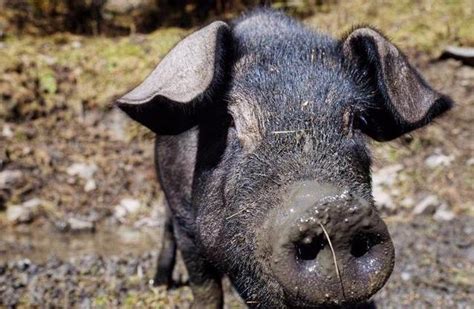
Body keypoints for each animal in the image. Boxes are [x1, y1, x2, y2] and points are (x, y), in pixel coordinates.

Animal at [115, 8, 452, 306]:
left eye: (357, 122)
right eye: (230, 120)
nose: (334, 212)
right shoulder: (188, 227)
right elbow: (207, 291)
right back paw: (159, 283)